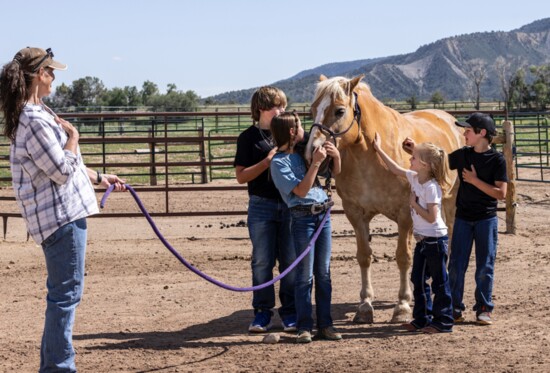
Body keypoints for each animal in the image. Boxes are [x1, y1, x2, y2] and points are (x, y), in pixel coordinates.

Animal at [306, 75, 466, 322]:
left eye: (339, 111)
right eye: (313, 109)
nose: (312, 153)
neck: (369, 157)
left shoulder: (405, 214)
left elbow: (403, 257)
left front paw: (402, 306)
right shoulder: (355, 214)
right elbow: (364, 256)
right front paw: (365, 305)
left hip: (450, 202)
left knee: (448, 234)